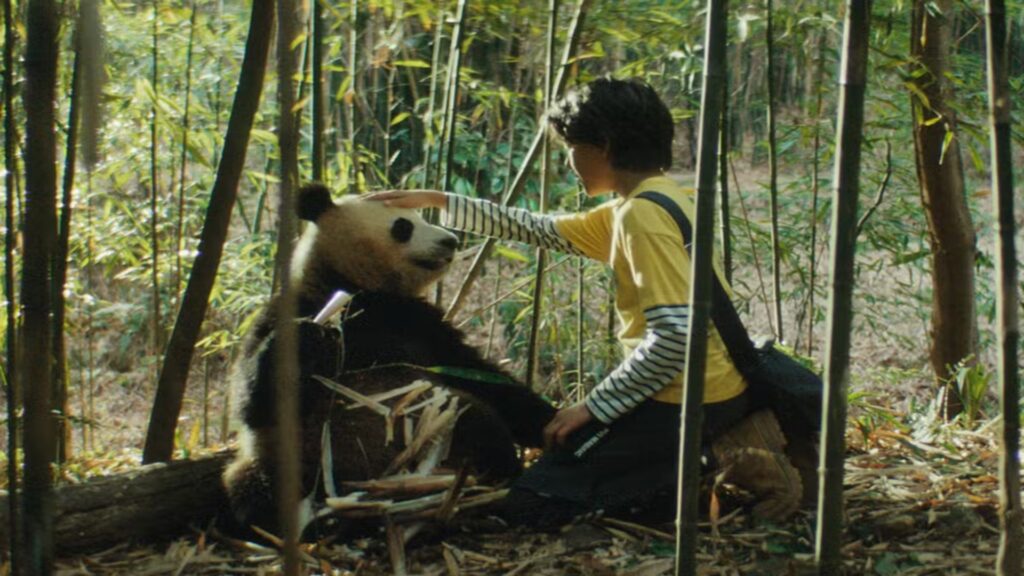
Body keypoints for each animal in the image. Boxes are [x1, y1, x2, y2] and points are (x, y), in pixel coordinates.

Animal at [222, 183, 556, 534]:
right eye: (403, 226)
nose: (450, 241)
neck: (358, 291)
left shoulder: (420, 324)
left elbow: (478, 374)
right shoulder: (293, 306)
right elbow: (251, 401)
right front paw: (306, 338)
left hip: (443, 424)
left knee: (479, 421)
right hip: (288, 461)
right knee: (254, 492)